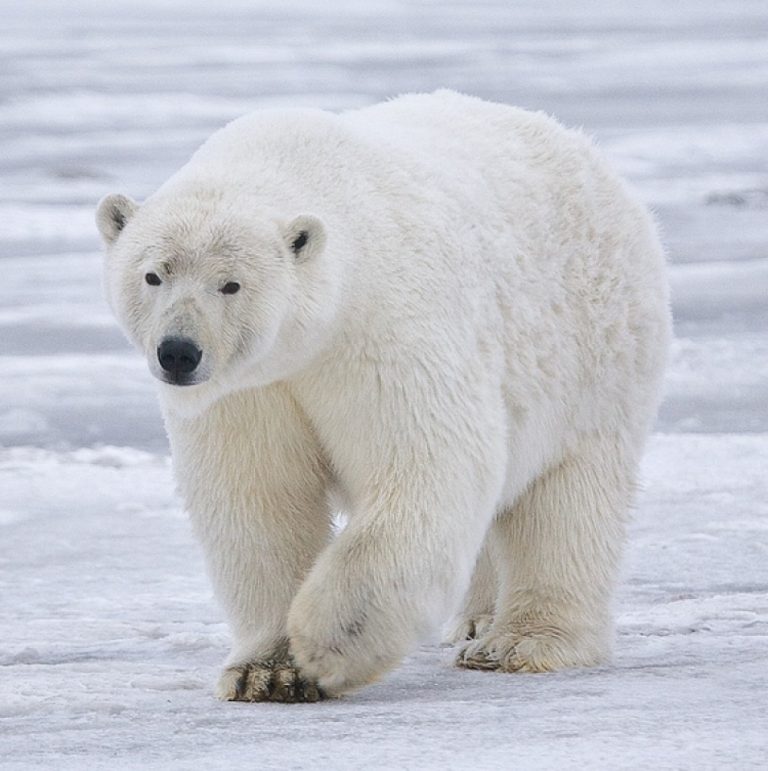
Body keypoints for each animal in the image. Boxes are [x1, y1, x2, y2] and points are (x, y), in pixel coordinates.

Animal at [97, 89, 672, 700]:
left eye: (231, 284)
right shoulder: (249, 389)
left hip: (594, 354)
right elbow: (258, 498)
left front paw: (326, 645)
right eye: (153, 275)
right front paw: (267, 671)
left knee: (567, 499)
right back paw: (475, 620)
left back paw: (519, 643)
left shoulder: (382, 329)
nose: (179, 352)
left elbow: (427, 464)